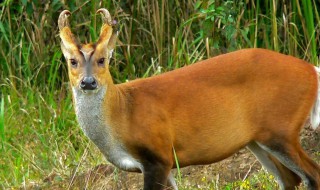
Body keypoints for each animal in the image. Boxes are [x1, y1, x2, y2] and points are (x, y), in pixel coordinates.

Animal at [58, 8, 320, 190]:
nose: (88, 82)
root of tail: (312, 70)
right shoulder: (164, 164)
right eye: (72, 61)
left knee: (311, 175)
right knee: (290, 179)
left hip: (280, 128)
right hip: (258, 139)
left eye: (102, 60)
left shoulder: (157, 155)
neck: (122, 112)